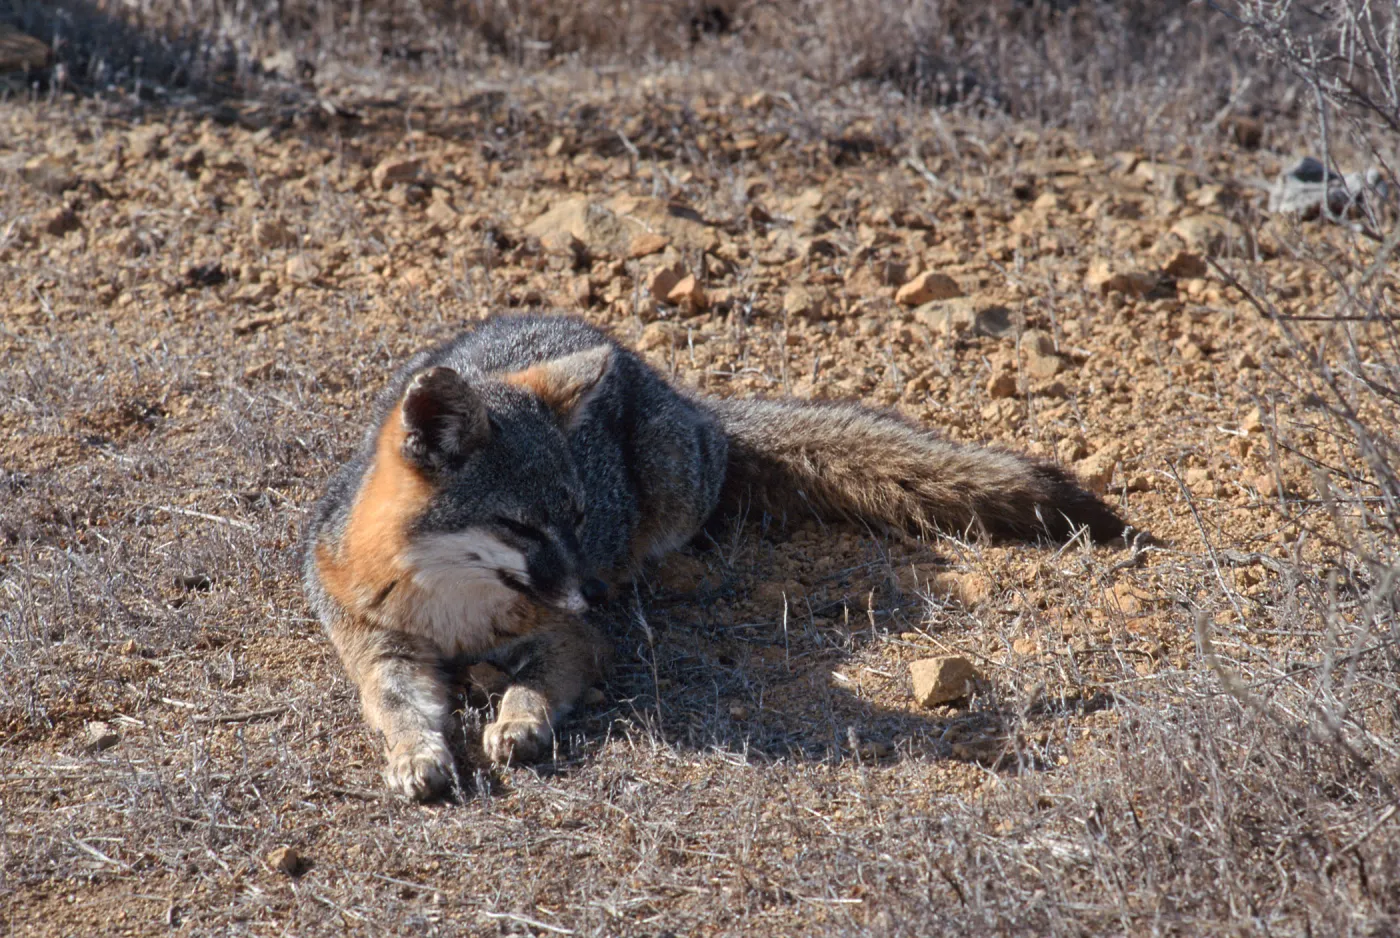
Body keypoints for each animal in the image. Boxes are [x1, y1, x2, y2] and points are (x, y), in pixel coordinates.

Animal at [302, 313, 1124, 800]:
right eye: (522, 528)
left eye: (578, 517)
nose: (592, 592)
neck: (456, 611)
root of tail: (677, 391)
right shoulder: (376, 647)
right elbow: (397, 708)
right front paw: (416, 756)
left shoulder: (571, 638)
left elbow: (534, 682)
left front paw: (519, 721)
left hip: (676, 486)